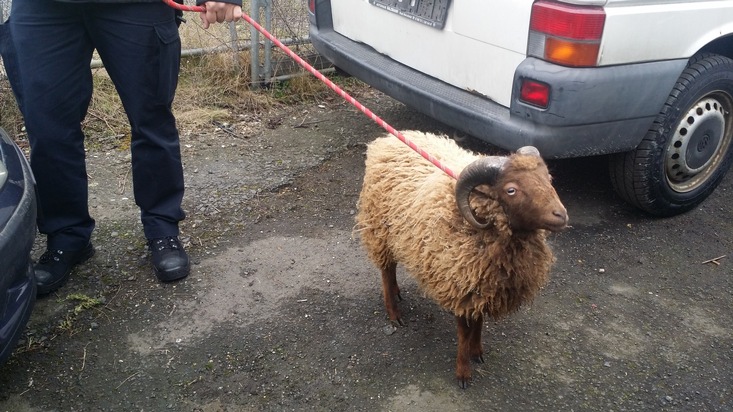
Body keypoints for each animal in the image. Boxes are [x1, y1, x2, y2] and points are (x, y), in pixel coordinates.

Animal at [354, 131, 568, 390]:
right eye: (511, 190)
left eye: (548, 177)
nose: (561, 215)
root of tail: (387, 140)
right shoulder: (460, 284)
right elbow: (464, 333)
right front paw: (463, 372)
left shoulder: (483, 286)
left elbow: (479, 323)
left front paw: (477, 352)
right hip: (380, 229)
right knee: (387, 270)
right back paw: (394, 314)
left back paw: (396, 293)